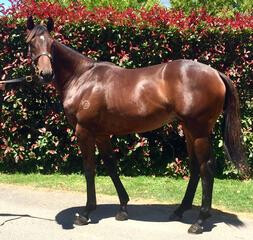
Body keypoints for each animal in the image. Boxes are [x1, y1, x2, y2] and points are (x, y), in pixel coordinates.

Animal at [26, 17, 249, 234]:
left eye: (51, 43)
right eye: (31, 43)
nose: (46, 74)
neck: (82, 78)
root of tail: (216, 73)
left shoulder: (84, 131)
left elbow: (89, 169)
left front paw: (86, 213)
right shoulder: (101, 134)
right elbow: (111, 166)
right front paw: (123, 208)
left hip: (199, 130)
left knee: (206, 167)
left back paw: (200, 221)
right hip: (189, 130)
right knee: (195, 167)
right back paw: (180, 210)